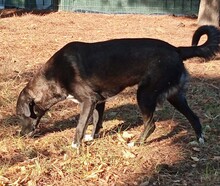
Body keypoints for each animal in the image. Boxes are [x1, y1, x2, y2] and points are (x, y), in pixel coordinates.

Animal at [16, 25, 220, 148]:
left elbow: (80, 126)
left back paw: (136, 143)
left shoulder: (88, 101)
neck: (54, 74)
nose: (20, 135)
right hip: (175, 96)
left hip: (144, 94)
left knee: (151, 125)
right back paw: (199, 140)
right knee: (194, 117)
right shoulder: (98, 102)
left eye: (20, 115)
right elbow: (96, 122)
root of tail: (177, 49)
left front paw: (75, 146)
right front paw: (92, 137)